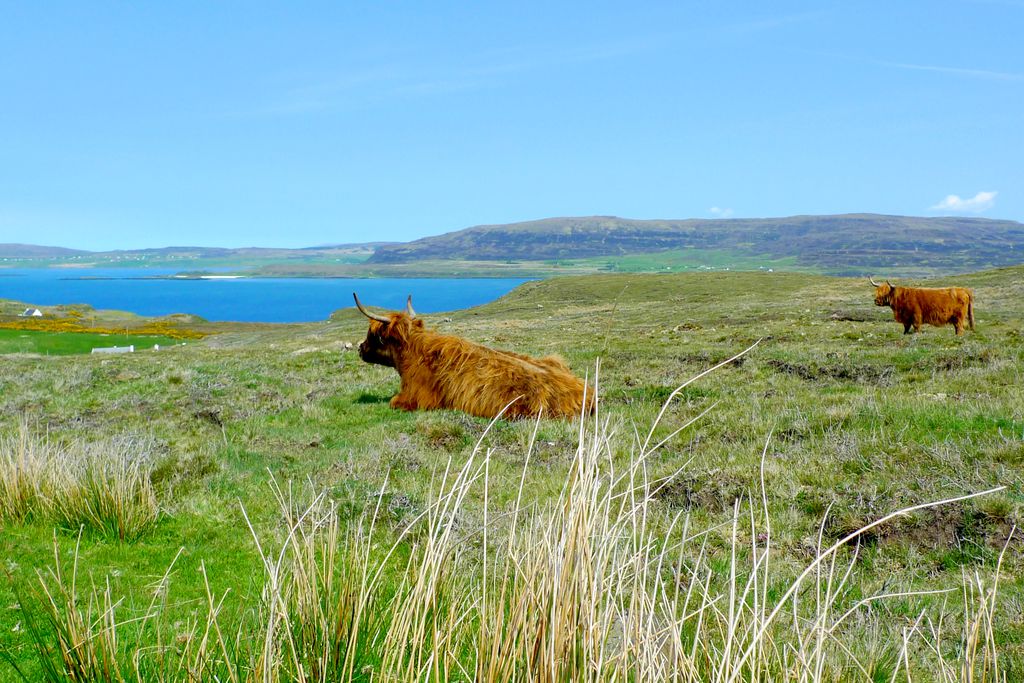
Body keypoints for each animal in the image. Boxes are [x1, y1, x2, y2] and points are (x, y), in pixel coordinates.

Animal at [352, 290, 593, 419]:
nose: (360, 349)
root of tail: (587, 393)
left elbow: (393, 402)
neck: (413, 352)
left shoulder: (417, 398)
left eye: (373, 335)